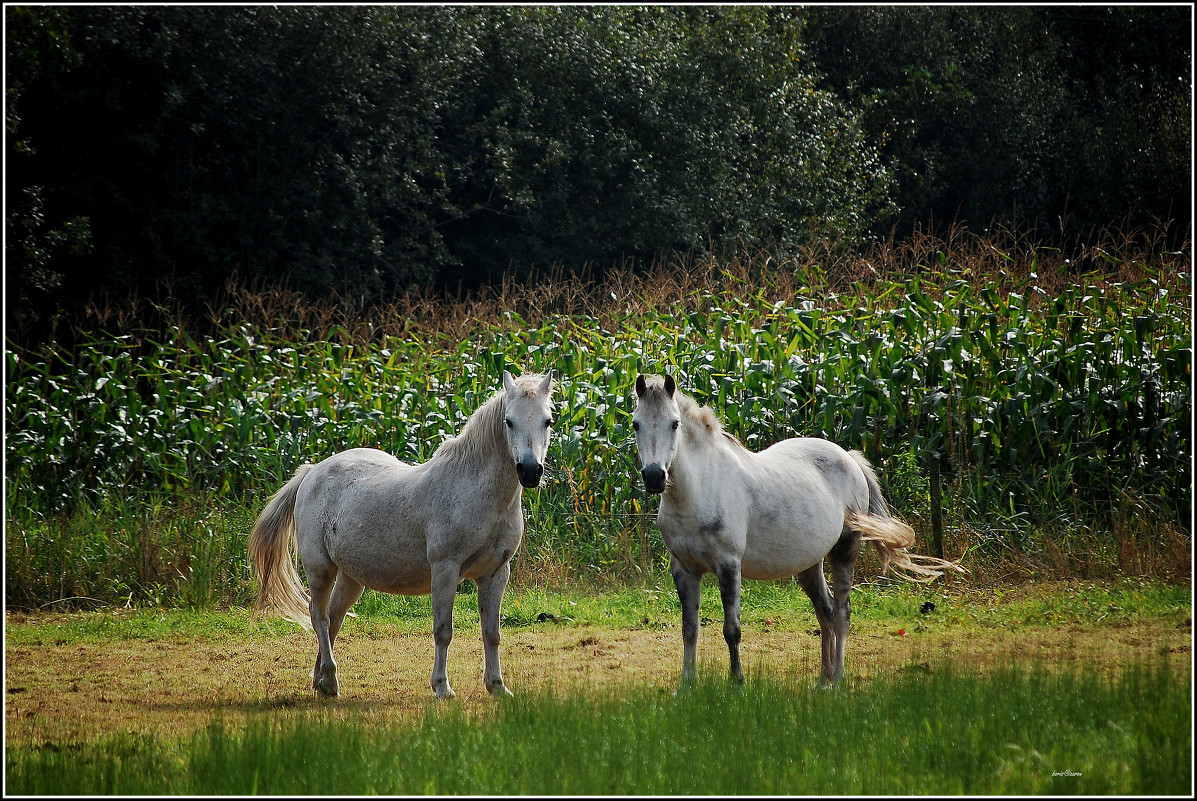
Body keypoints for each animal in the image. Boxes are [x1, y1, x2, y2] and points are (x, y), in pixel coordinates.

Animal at [251, 371, 555, 694]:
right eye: (509, 421)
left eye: (547, 421)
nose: (530, 471)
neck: (475, 491)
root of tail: (312, 472)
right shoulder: (445, 569)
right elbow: (443, 630)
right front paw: (442, 687)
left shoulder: (496, 573)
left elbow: (492, 632)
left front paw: (497, 686)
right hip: (320, 568)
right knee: (318, 616)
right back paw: (331, 680)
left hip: (351, 577)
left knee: (334, 617)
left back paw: (320, 680)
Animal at [636, 371, 962, 684]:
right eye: (636, 424)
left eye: (675, 424)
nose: (654, 477)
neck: (700, 489)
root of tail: (849, 458)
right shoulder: (685, 570)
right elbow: (689, 629)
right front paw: (686, 686)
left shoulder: (729, 565)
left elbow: (732, 630)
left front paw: (736, 683)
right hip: (810, 565)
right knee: (825, 611)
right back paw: (823, 680)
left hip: (845, 550)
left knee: (841, 613)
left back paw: (838, 679)